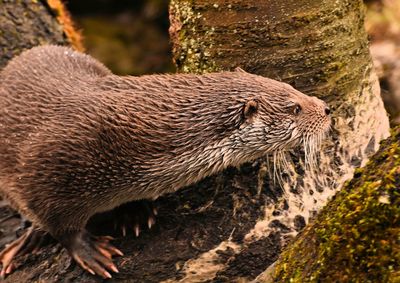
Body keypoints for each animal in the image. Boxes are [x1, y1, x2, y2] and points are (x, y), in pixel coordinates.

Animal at [0, 45, 332, 278]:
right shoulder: (47, 169)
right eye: (294, 108)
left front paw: (134, 211)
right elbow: (61, 225)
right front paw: (90, 252)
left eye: (291, 88)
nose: (326, 109)